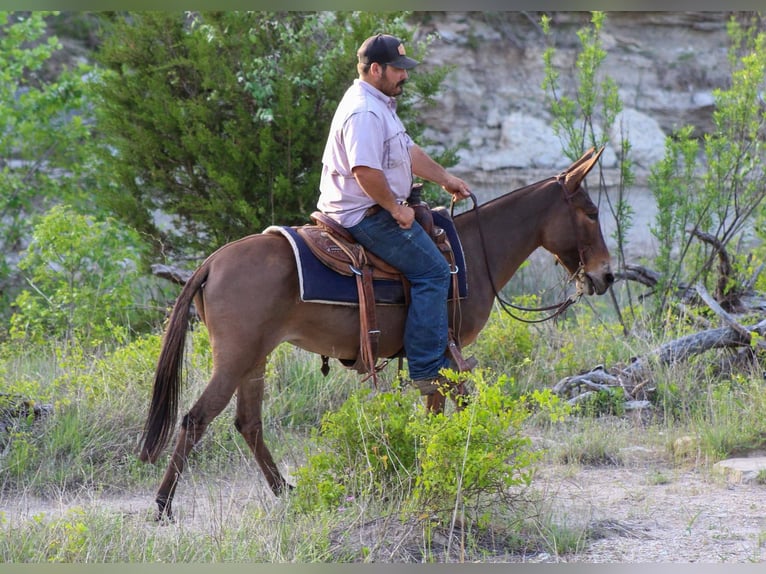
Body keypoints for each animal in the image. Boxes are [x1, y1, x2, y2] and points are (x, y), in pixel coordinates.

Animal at [138, 146, 614, 520]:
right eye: (591, 213)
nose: (605, 275)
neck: (474, 253)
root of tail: (211, 262)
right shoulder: (445, 350)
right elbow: (449, 406)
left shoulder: (438, 353)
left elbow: (438, 408)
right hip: (235, 357)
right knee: (196, 419)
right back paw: (162, 506)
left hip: (256, 358)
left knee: (248, 423)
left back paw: (284, 491)